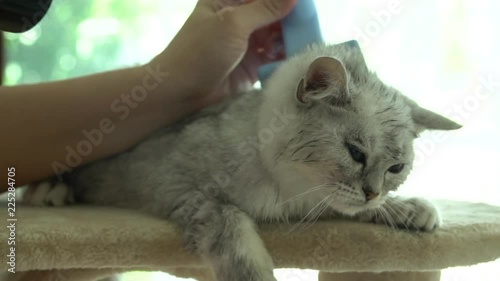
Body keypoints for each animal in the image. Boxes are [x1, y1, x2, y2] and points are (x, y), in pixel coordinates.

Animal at [25, 40, 458, 278]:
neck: (289, 191)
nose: (372, 193)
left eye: (396, 168)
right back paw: (49, 191)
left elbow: (346, 209)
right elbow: (233, 228)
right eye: (355, 152)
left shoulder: (318, 204)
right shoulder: (188, 193)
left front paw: (406, 208)